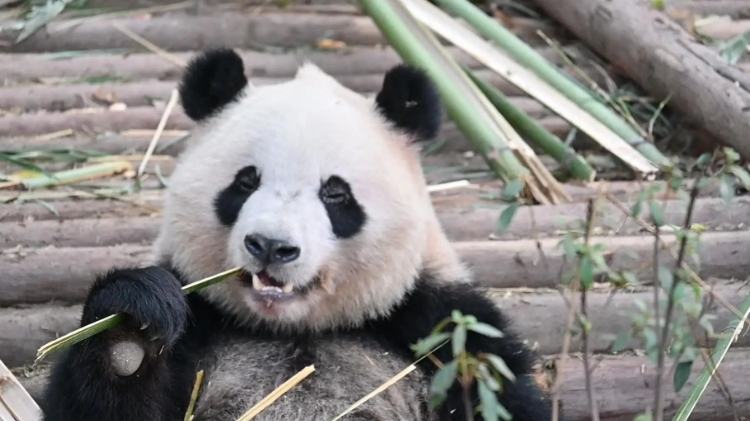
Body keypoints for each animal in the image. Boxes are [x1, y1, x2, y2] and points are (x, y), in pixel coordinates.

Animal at [41, 47, 560, 418]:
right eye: (245, 182)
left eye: (335, 194)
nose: (270, 247)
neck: (291, 328)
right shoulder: (200, 318)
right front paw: (130, 330)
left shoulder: (442, 327)